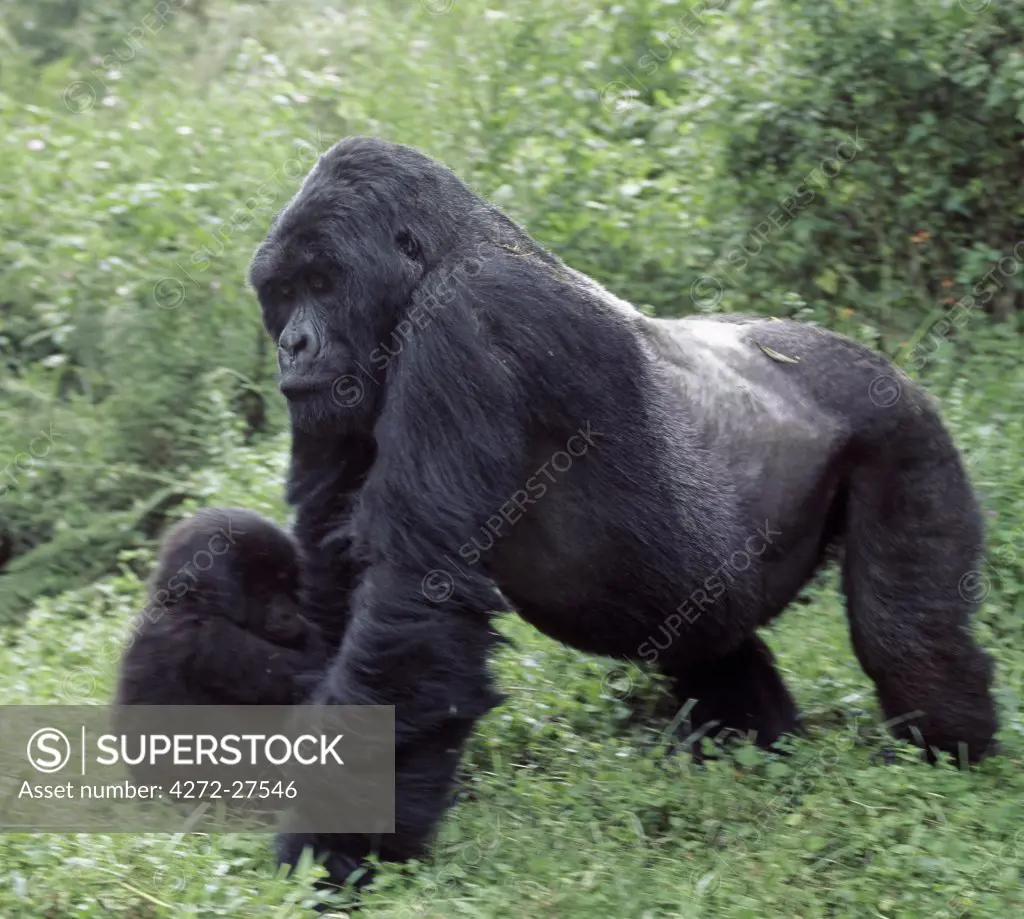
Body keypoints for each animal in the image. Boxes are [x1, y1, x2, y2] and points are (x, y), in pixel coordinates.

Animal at [140, 136, 995, 889]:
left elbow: (413, 600)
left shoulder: (471, 323)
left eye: (323, 281)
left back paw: (953, 767)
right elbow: (340, 573)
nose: (293, 345)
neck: (442, 256)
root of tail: (886, 361)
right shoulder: (334, 400)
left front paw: (329, 856)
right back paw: (760, 747)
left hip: (902, 432)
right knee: (710, 642)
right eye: (283, 291)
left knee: (905, 635)